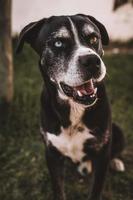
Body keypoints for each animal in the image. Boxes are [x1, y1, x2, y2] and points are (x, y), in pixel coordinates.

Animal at [16, 14, 124, 200]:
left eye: (93, 38)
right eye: (58, 43)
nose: (92, 61)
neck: (74, 108)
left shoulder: (102, 156)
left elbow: (95, 191)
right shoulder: (52, 155)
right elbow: (59, 190)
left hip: (117, 131)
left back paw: (115, 162)